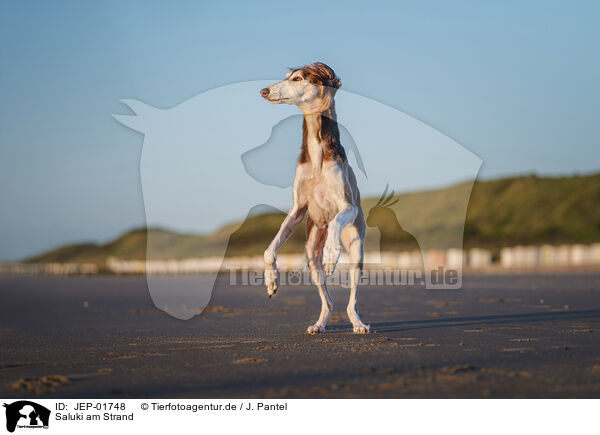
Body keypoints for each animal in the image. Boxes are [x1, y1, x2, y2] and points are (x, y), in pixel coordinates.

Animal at [258, 62, 368, 334]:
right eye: (287, 76)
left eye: (298, 78)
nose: (264, 91)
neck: (317, 152)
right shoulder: (297, 209)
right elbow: (269, 250)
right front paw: (271, 281)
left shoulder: (347, 206)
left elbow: (338, 219)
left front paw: (331, 254)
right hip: (310, 253)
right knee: (327, 300)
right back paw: (319, 324)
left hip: (356, 248)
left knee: (352, 299)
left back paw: (358, 323)